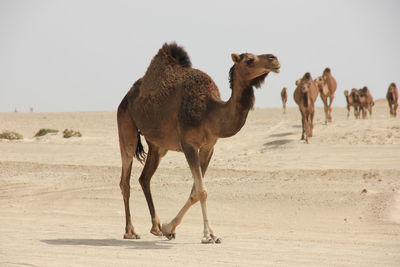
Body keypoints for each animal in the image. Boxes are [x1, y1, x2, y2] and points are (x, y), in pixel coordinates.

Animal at [116, 42, 282, 245]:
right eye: (249, 60)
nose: (274, 59)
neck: (210, 111)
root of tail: (127, 96)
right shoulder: (189, 144)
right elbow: (202, 191)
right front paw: (208, 235)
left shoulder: (208, 148)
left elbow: (195, 191)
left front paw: (168, 228)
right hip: (126, 125)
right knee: (125, 178)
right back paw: (130, 231)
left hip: (157, 145)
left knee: (144, 178)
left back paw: (156, 227)